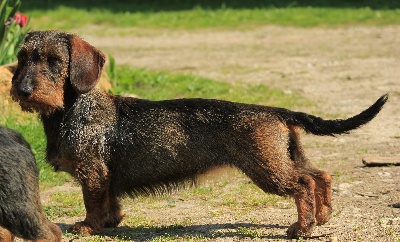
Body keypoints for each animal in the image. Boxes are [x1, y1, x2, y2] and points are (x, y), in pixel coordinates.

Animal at [10, 30, 390, 238]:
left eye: (54, 60)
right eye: (23, 57)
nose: (22, 91)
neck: (73, 108)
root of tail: (275, 111)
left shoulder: (92, 172)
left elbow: (92, 202)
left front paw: (88, 226)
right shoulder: (106, 176)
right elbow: (111, 203)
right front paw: (111, 222)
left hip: (267, 170)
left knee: (304, 184)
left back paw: (302, 228)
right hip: (286, 157)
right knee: (321, 175)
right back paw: (322, 216)